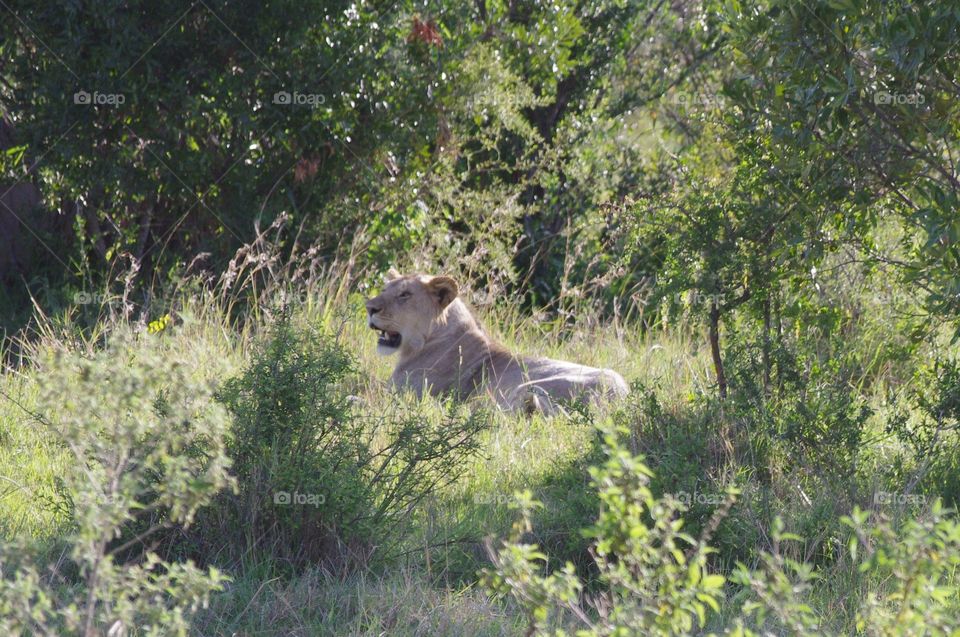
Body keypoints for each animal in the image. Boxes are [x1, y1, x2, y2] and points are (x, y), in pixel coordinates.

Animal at [365, 269, 629, 414]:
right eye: (384, 289)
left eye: (405, 295)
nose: (369, 307)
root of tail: (621, 399)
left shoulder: (399, 396)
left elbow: (360, 399)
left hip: (527, 388)